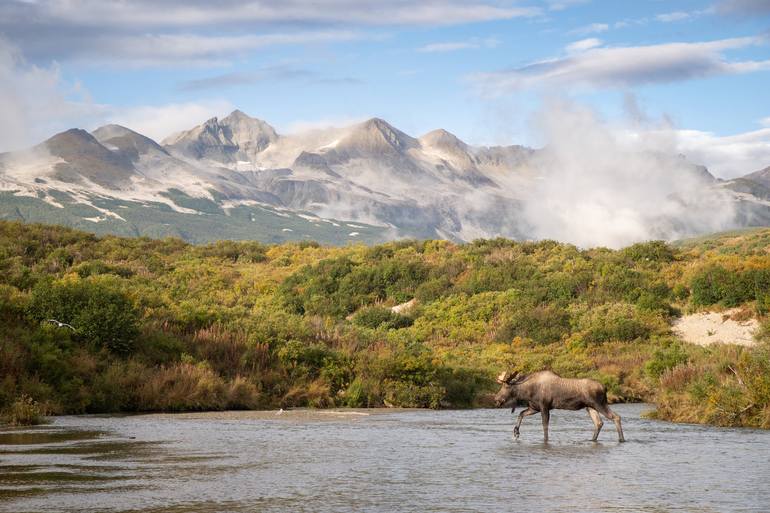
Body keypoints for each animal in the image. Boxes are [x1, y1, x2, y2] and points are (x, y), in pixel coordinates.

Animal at [492, 370, 624, 442]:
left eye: (506, 386)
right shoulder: (534, 407)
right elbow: (521, 413)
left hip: (599, 403)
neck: (527, 392)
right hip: (590, 407)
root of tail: (605, 387)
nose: (496, 399)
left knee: (616, 417)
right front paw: (516, 432)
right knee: (599, 422)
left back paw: (621, 439)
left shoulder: (544, 406)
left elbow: (545, 426)